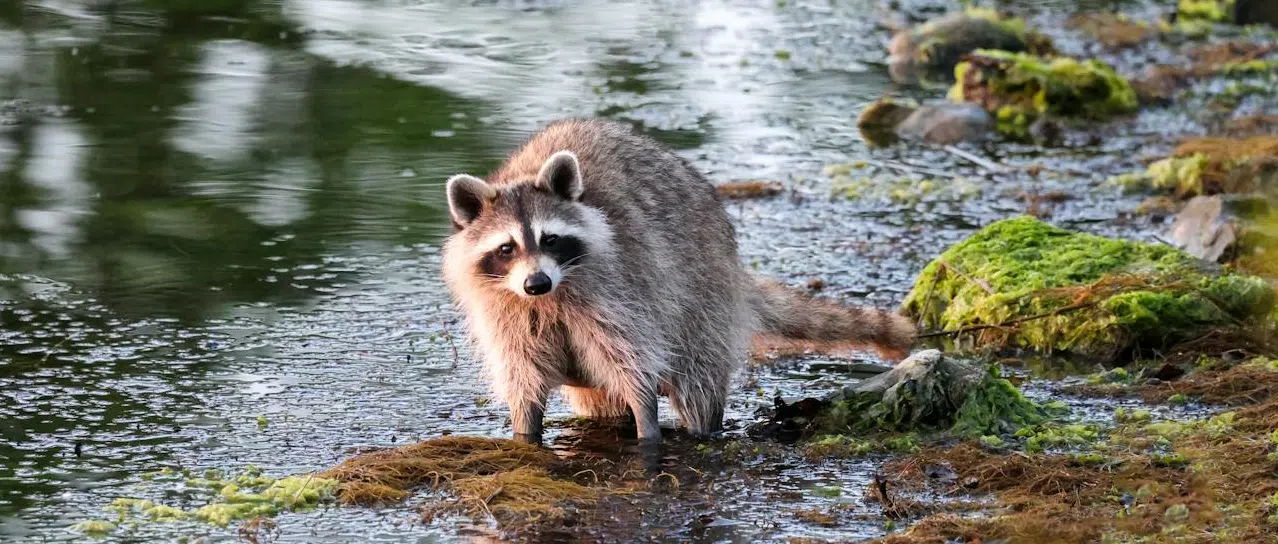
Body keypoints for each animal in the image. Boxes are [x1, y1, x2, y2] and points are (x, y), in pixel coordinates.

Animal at [442, 118, 914, 446]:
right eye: (507, 248)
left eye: (550, 239)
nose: (536, 282)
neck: (550, 298)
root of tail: (733, 268)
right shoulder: (506, 313)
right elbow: (523, 379)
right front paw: (525, 435)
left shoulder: (623, 289)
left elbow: (635, 365)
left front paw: (647, 425)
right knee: (601, 402)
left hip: (703, 296)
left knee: (698, 380)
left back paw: (704, 429)